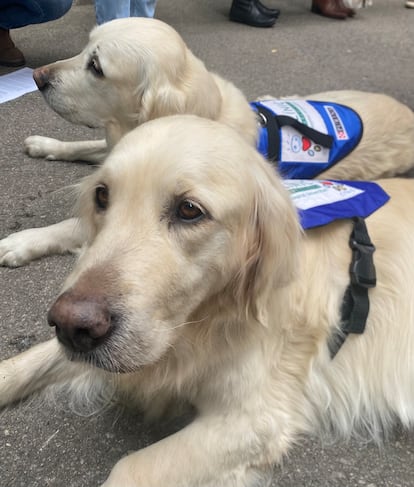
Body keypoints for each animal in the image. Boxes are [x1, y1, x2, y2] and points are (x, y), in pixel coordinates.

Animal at [0, 18, 414, 266]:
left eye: (97, 67)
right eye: (86, 48)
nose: (38, 77)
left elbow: (70, 225)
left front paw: (19, 242)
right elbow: (85, 146)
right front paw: (45, 144)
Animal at [0, 115, 414, 487]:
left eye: (189, 210)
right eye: (102, 195)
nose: (73, 326)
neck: (205, 321)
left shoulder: (254, 419)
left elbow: (130, 468)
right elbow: (27, 362)